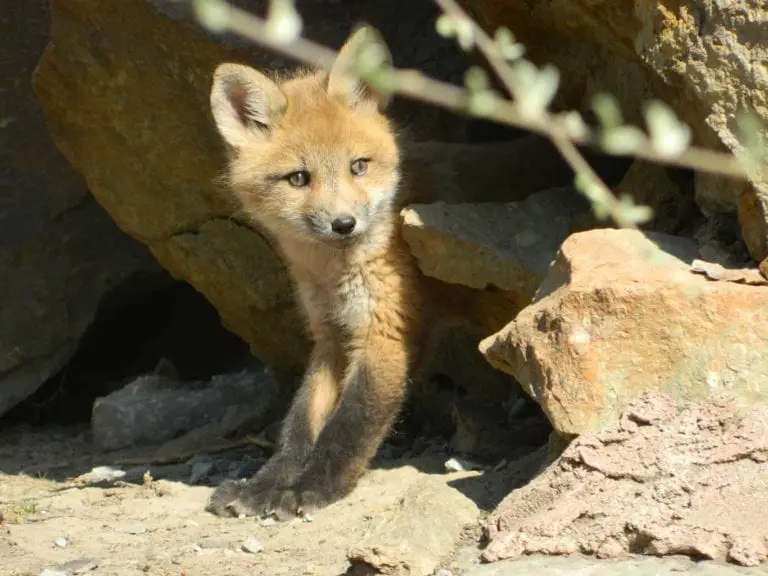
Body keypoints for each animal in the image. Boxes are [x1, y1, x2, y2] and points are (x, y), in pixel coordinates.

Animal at [204, 26, 631, 521]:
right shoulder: (331, 337)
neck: (335, 275)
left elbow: (347, 428)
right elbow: (299, 424)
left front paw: (313, 489)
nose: (344, 224)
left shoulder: (385, 335)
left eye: (358, 166)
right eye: (298, 178)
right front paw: (265, 484)